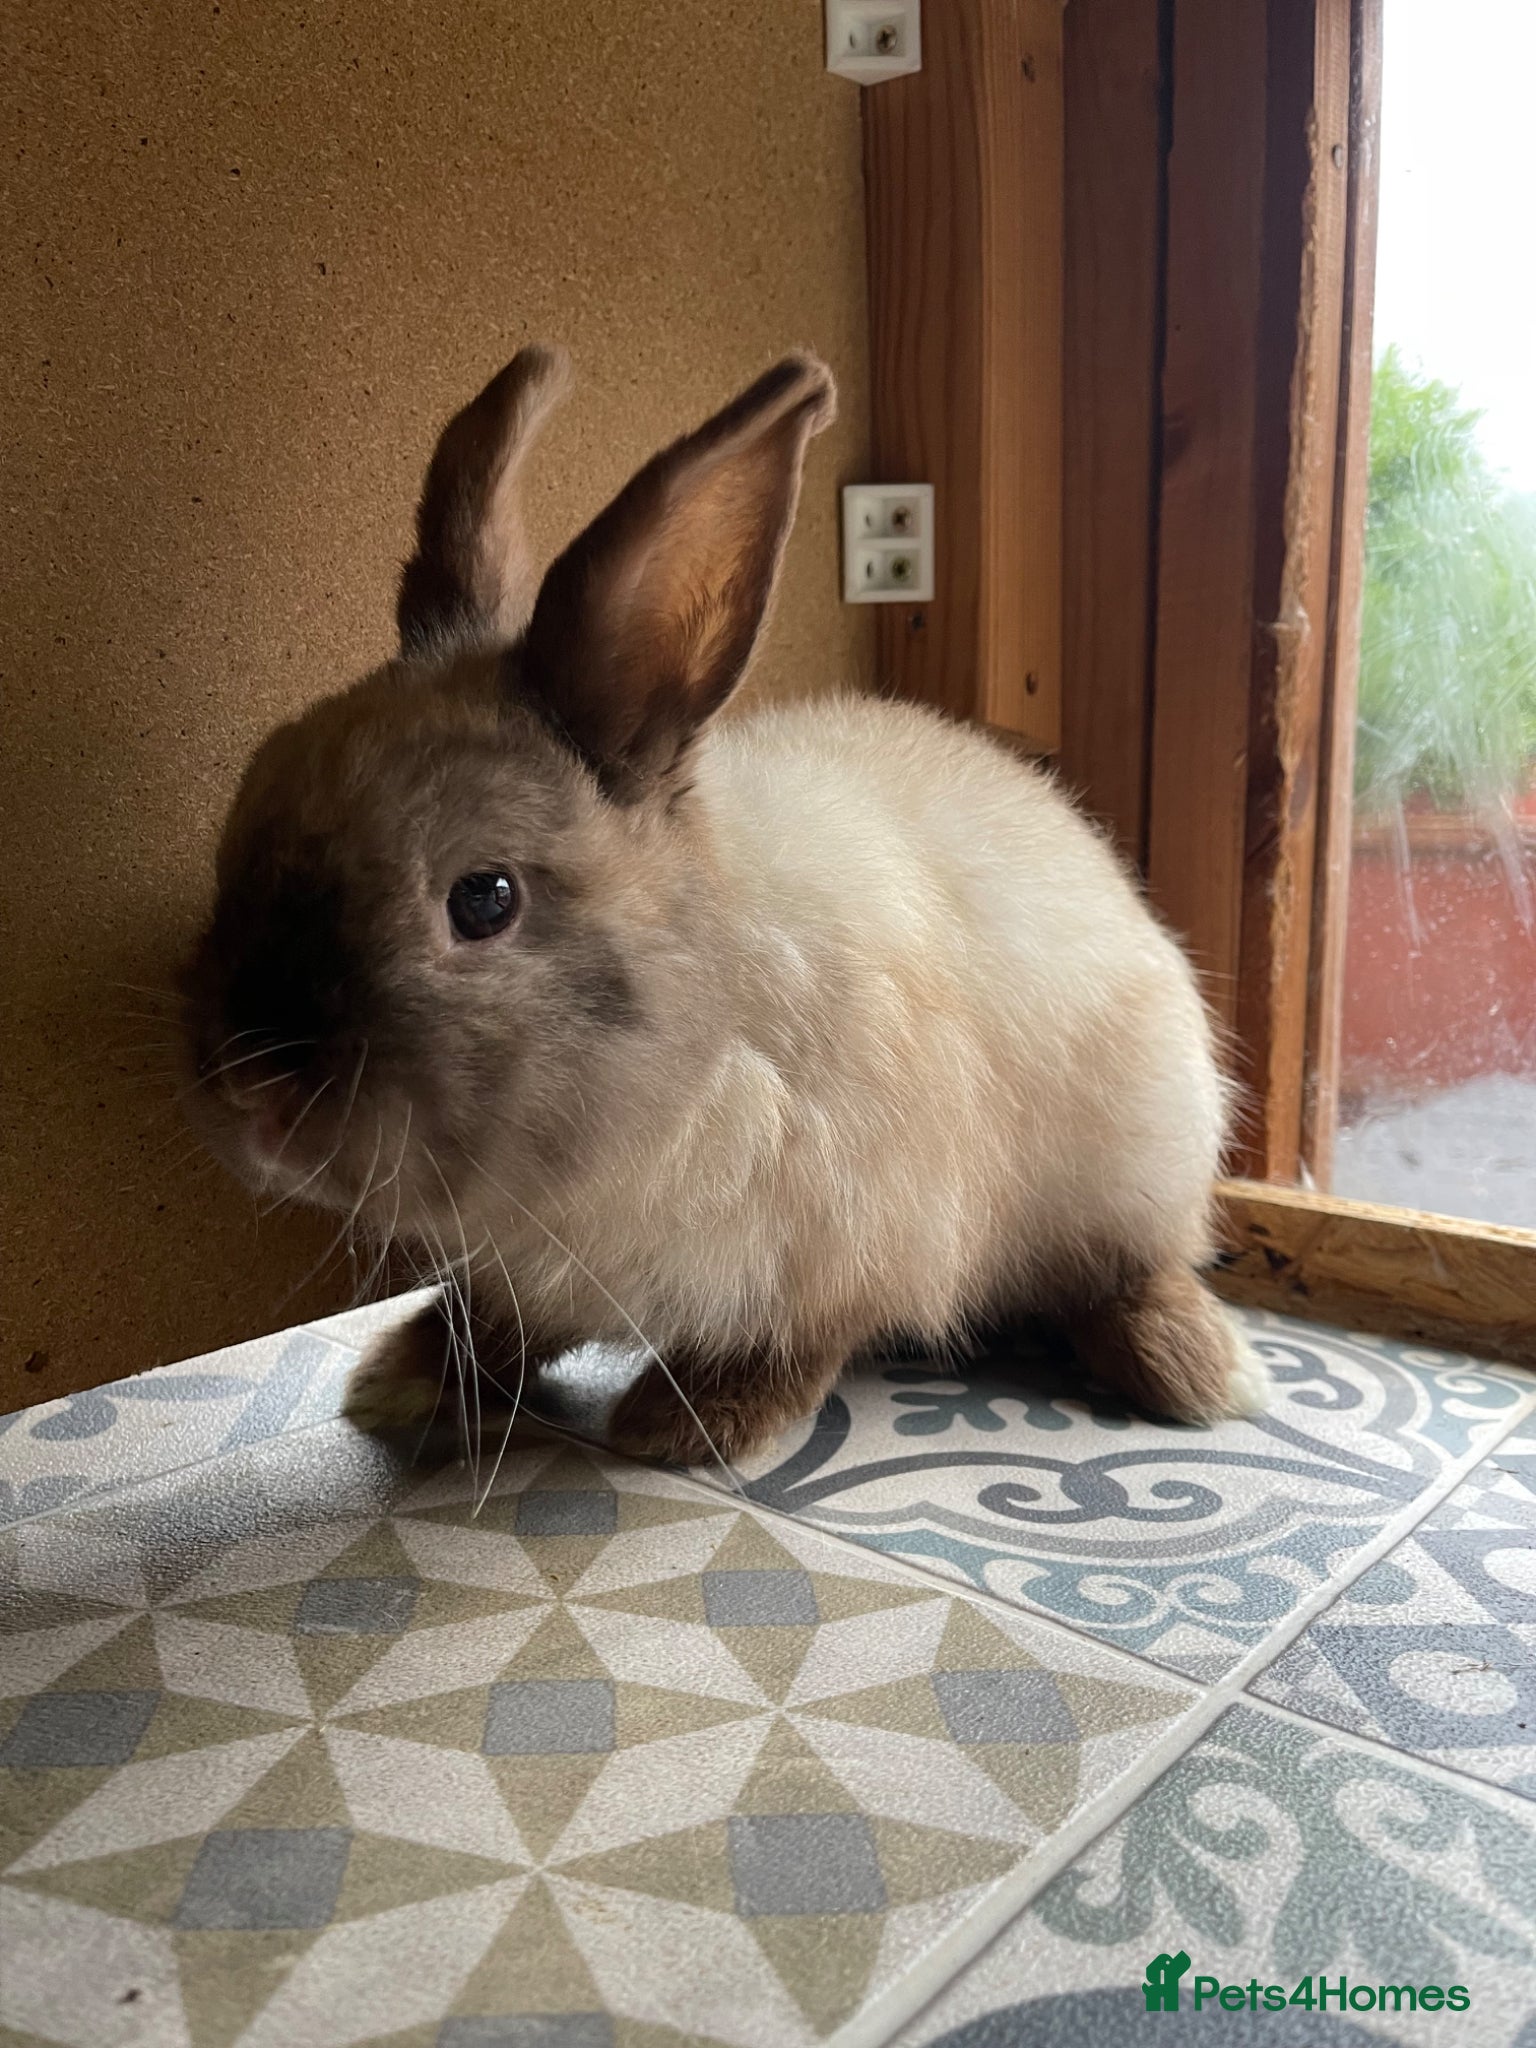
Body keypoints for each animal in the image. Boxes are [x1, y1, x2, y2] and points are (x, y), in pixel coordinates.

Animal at [181, 343, 1268, 1470]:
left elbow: (796, 1341)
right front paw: (401, 1381)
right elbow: (490, 1323)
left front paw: (684, 1422)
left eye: (483, 899)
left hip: (1140, 1158)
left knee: (1127, 1273)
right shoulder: (521, 1266)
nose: (250, 1089)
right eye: (248, 810)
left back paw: (1198, 1371)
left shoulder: (850, 1237)